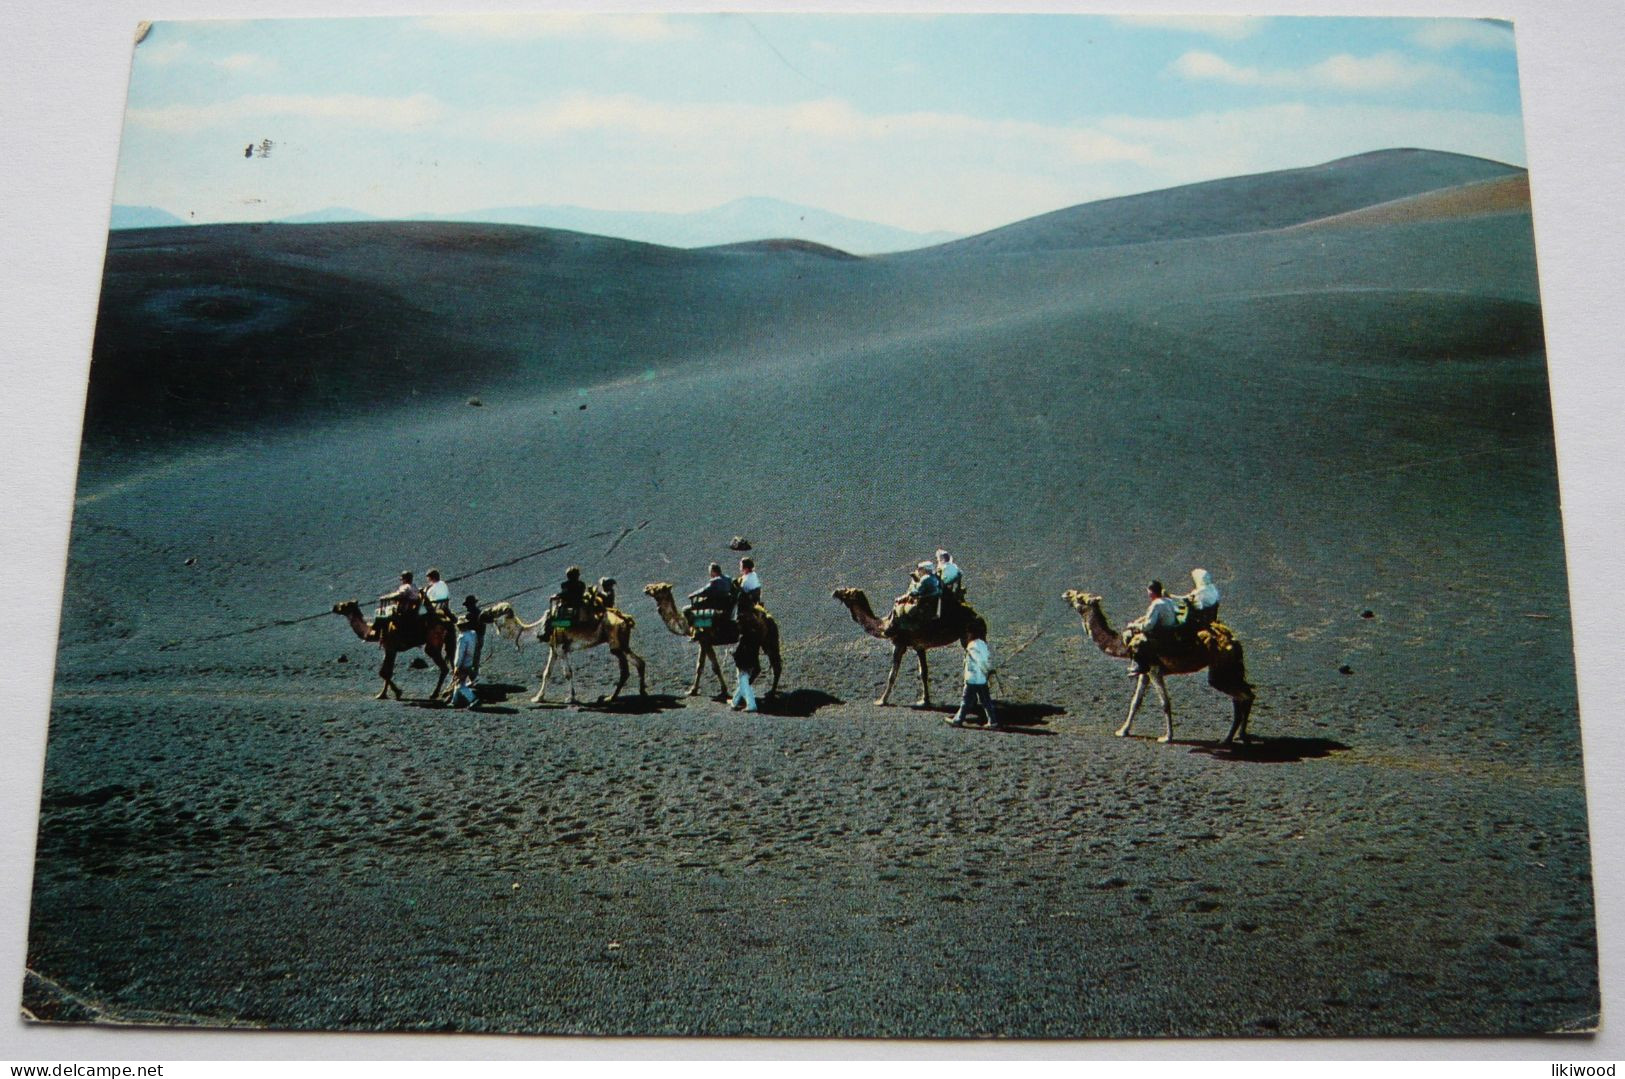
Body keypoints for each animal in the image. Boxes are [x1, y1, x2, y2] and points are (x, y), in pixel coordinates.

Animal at [487, 601, 646, 705]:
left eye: (496, 611)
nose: (484, 613)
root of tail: (625, 619)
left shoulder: (561, 648)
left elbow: (567, 673)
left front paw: (571, 698)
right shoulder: (553, 649)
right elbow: (547, 673)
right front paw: (538, 698)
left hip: (616, 645)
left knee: (626, 669)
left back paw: (611, 698)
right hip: (622, 644)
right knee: (638, 662)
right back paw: (638, 694)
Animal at [640, 581, 780, 698]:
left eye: (658, 588)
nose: (646, 588)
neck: (686, 624)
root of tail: (767, 617)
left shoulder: (704, 640)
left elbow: (712, 666)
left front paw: (719, 691)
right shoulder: (703, 643)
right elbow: (701, 666)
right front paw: (695, 690)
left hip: (752, 641)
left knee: (759, 666)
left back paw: (744, 691)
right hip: (765, 640)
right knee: (774, 663)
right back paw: (770, 692)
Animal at [832, 591, 981, 708]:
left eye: (847, 592)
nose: (835, 593)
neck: (884, 624)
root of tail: (977, 615)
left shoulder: (899, 644)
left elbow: (892, 675)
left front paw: (881, 701)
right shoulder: (919, 646)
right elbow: (923, 672)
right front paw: (925, 701)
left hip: (970, 633)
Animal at [1066, 585, 1254, 747]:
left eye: (1081, 598)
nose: (1067, 593)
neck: (1124, 644)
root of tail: (1234, 643)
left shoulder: (1155, 670)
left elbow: (1165, 702)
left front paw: (1167, 737)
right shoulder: (1144, 671)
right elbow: (1135, 701)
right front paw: (1123, 731)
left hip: (1221, 670)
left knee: (1244, 696)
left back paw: (1231, 738)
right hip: (1229, 669)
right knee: (1242, 696)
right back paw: (1237, 736)